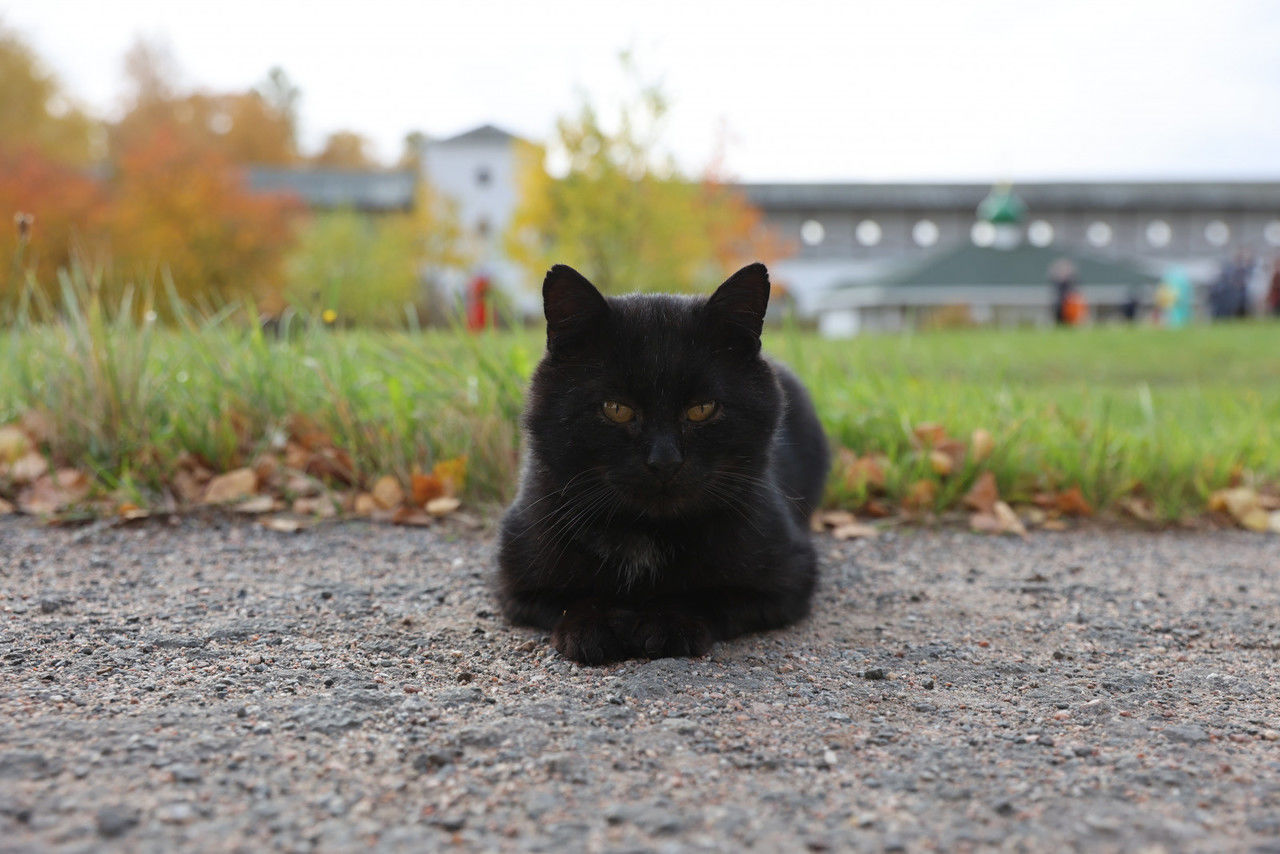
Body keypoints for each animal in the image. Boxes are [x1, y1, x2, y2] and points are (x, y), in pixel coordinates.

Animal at [488, 263, 829, 665]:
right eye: (616, 409)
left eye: (702, 409)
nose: (665, 461)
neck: (646, 532)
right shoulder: (516, 581)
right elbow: (574, 596)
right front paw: (593, 627)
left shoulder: (788, 579)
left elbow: (708, 594)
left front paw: (668, 622)